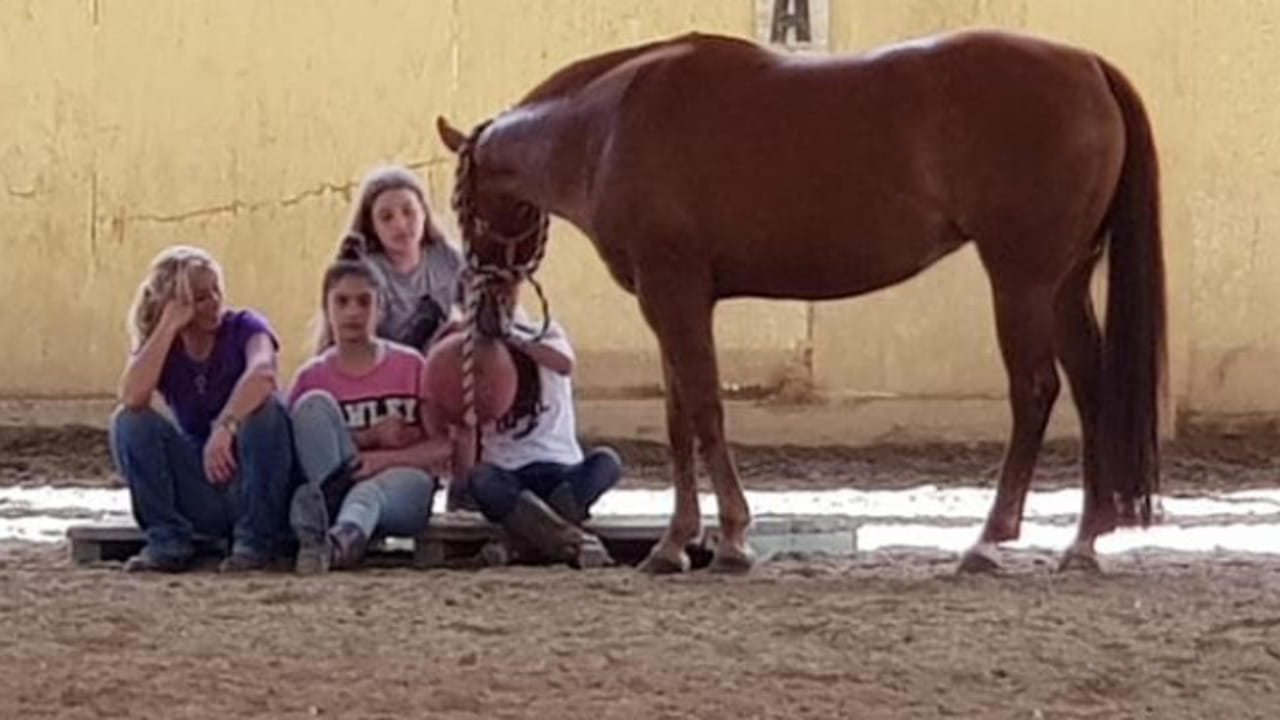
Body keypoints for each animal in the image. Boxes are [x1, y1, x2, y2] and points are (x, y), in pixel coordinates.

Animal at [436, 28, 1166, 575]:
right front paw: (675, 544)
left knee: (1036, 390)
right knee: (1091, 388)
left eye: (464, 204)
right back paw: (1083, 542)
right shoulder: (672, 301)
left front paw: (730, 540)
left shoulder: (674, 294)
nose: (485, 307)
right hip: (1064, 283)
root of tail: (1087, 66)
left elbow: (704, 410)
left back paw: (987, 541)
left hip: (1021, 279)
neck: (608, 125)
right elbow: (679, 419)